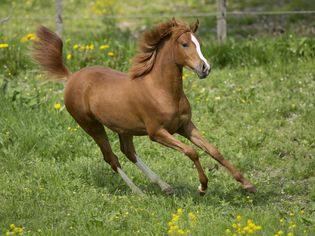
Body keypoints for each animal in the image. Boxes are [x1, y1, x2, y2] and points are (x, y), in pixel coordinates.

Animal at [33, 19, 256, 195]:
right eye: (184, 44)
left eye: (199, 43)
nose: (205, 68)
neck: (162, 90)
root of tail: (71, 77)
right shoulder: (157, 133)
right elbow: (191, 151)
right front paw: (202, 187)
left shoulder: (185, 126)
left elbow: (214, 151)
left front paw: (247, 184)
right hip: (91, 126)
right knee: (111, 158)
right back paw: (139, 192)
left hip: (123, 128)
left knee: (128, 152)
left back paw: (165, 186)